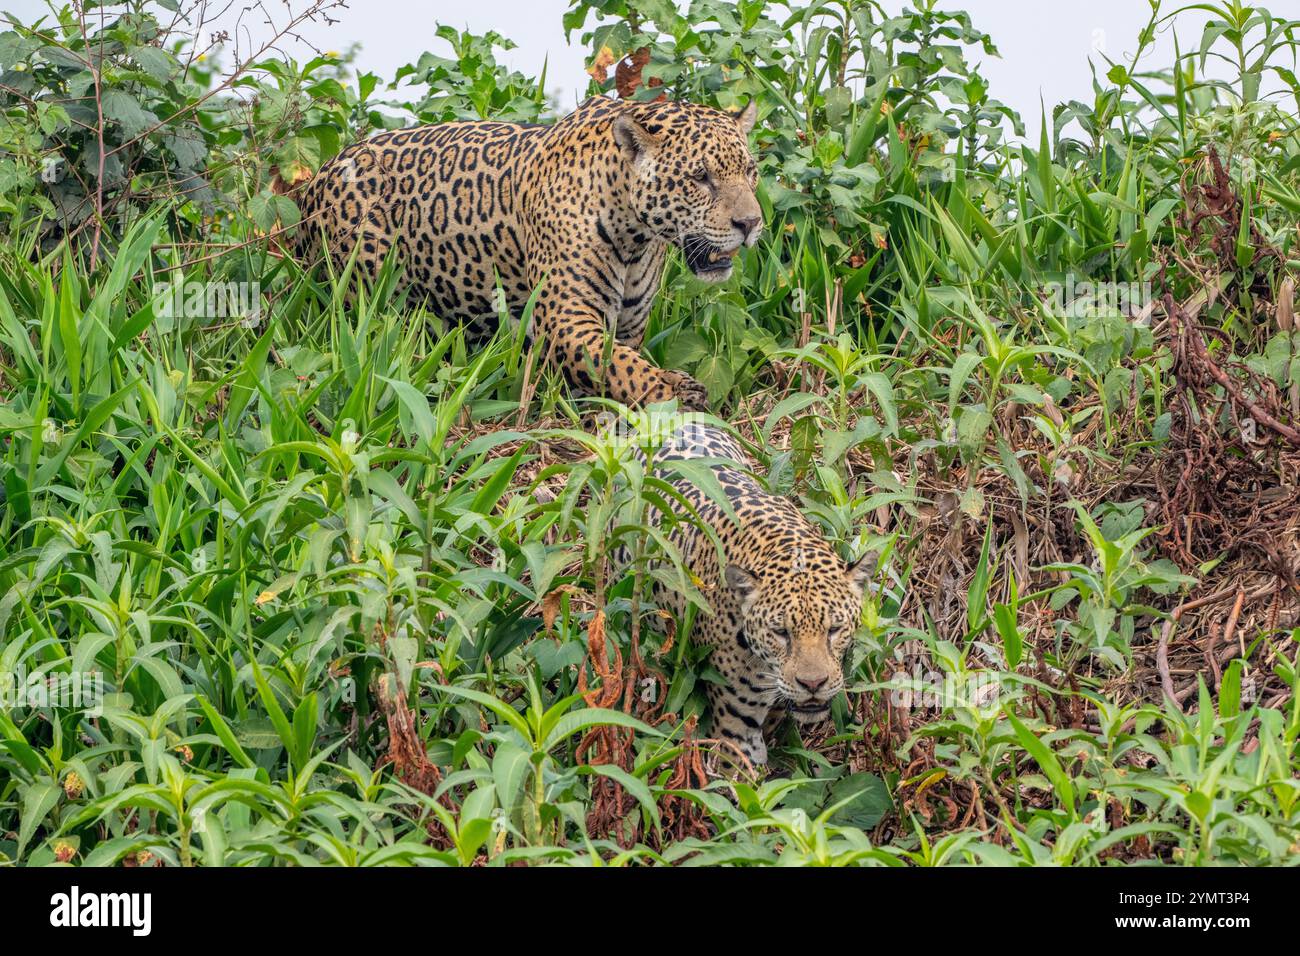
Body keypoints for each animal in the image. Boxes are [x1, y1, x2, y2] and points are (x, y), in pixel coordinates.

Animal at [291, 96, 763, 410]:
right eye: (700, 177)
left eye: (750, 172)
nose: (751, 224)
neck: (635, 237)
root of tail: (318, 177)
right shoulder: (567, 320)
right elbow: (620, 366)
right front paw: (673, 392)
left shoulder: (628, 325)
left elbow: (623, 361)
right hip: (370, 283)